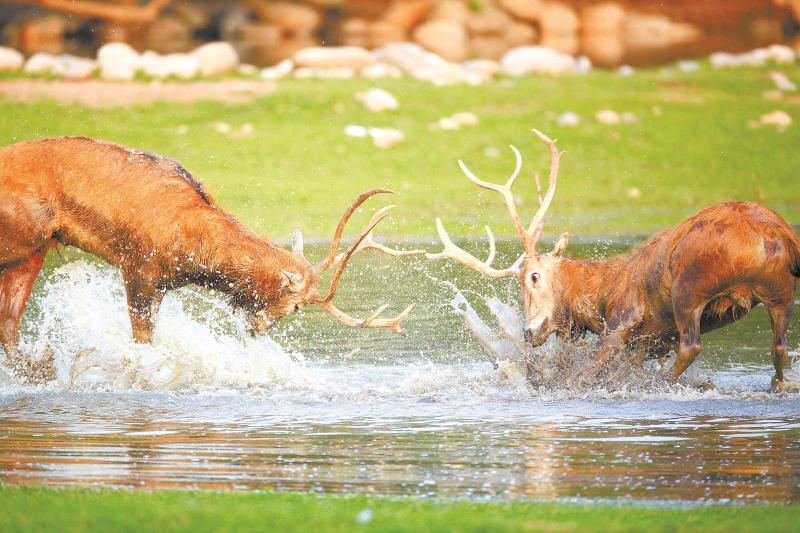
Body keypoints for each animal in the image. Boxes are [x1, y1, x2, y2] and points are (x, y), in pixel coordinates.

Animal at [0, 135, 424, 380]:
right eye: (296, 306)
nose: (258, 329)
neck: (192, 254)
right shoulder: (138, 267)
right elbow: (142, 344)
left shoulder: (160, 284)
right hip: (21, 236)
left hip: (35, 247)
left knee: (9, 324)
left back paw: (41, 367)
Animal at [428, 129, 800, 390]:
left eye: (533, 276)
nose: (528, 332)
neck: (600, 296)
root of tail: (778, 236)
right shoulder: (648, 342)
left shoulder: (622, 321)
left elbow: (587, 374)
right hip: (782, 292)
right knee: (780, 347)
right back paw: (777, 385)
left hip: (690, 286)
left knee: (692, 345)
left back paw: (661, 384)